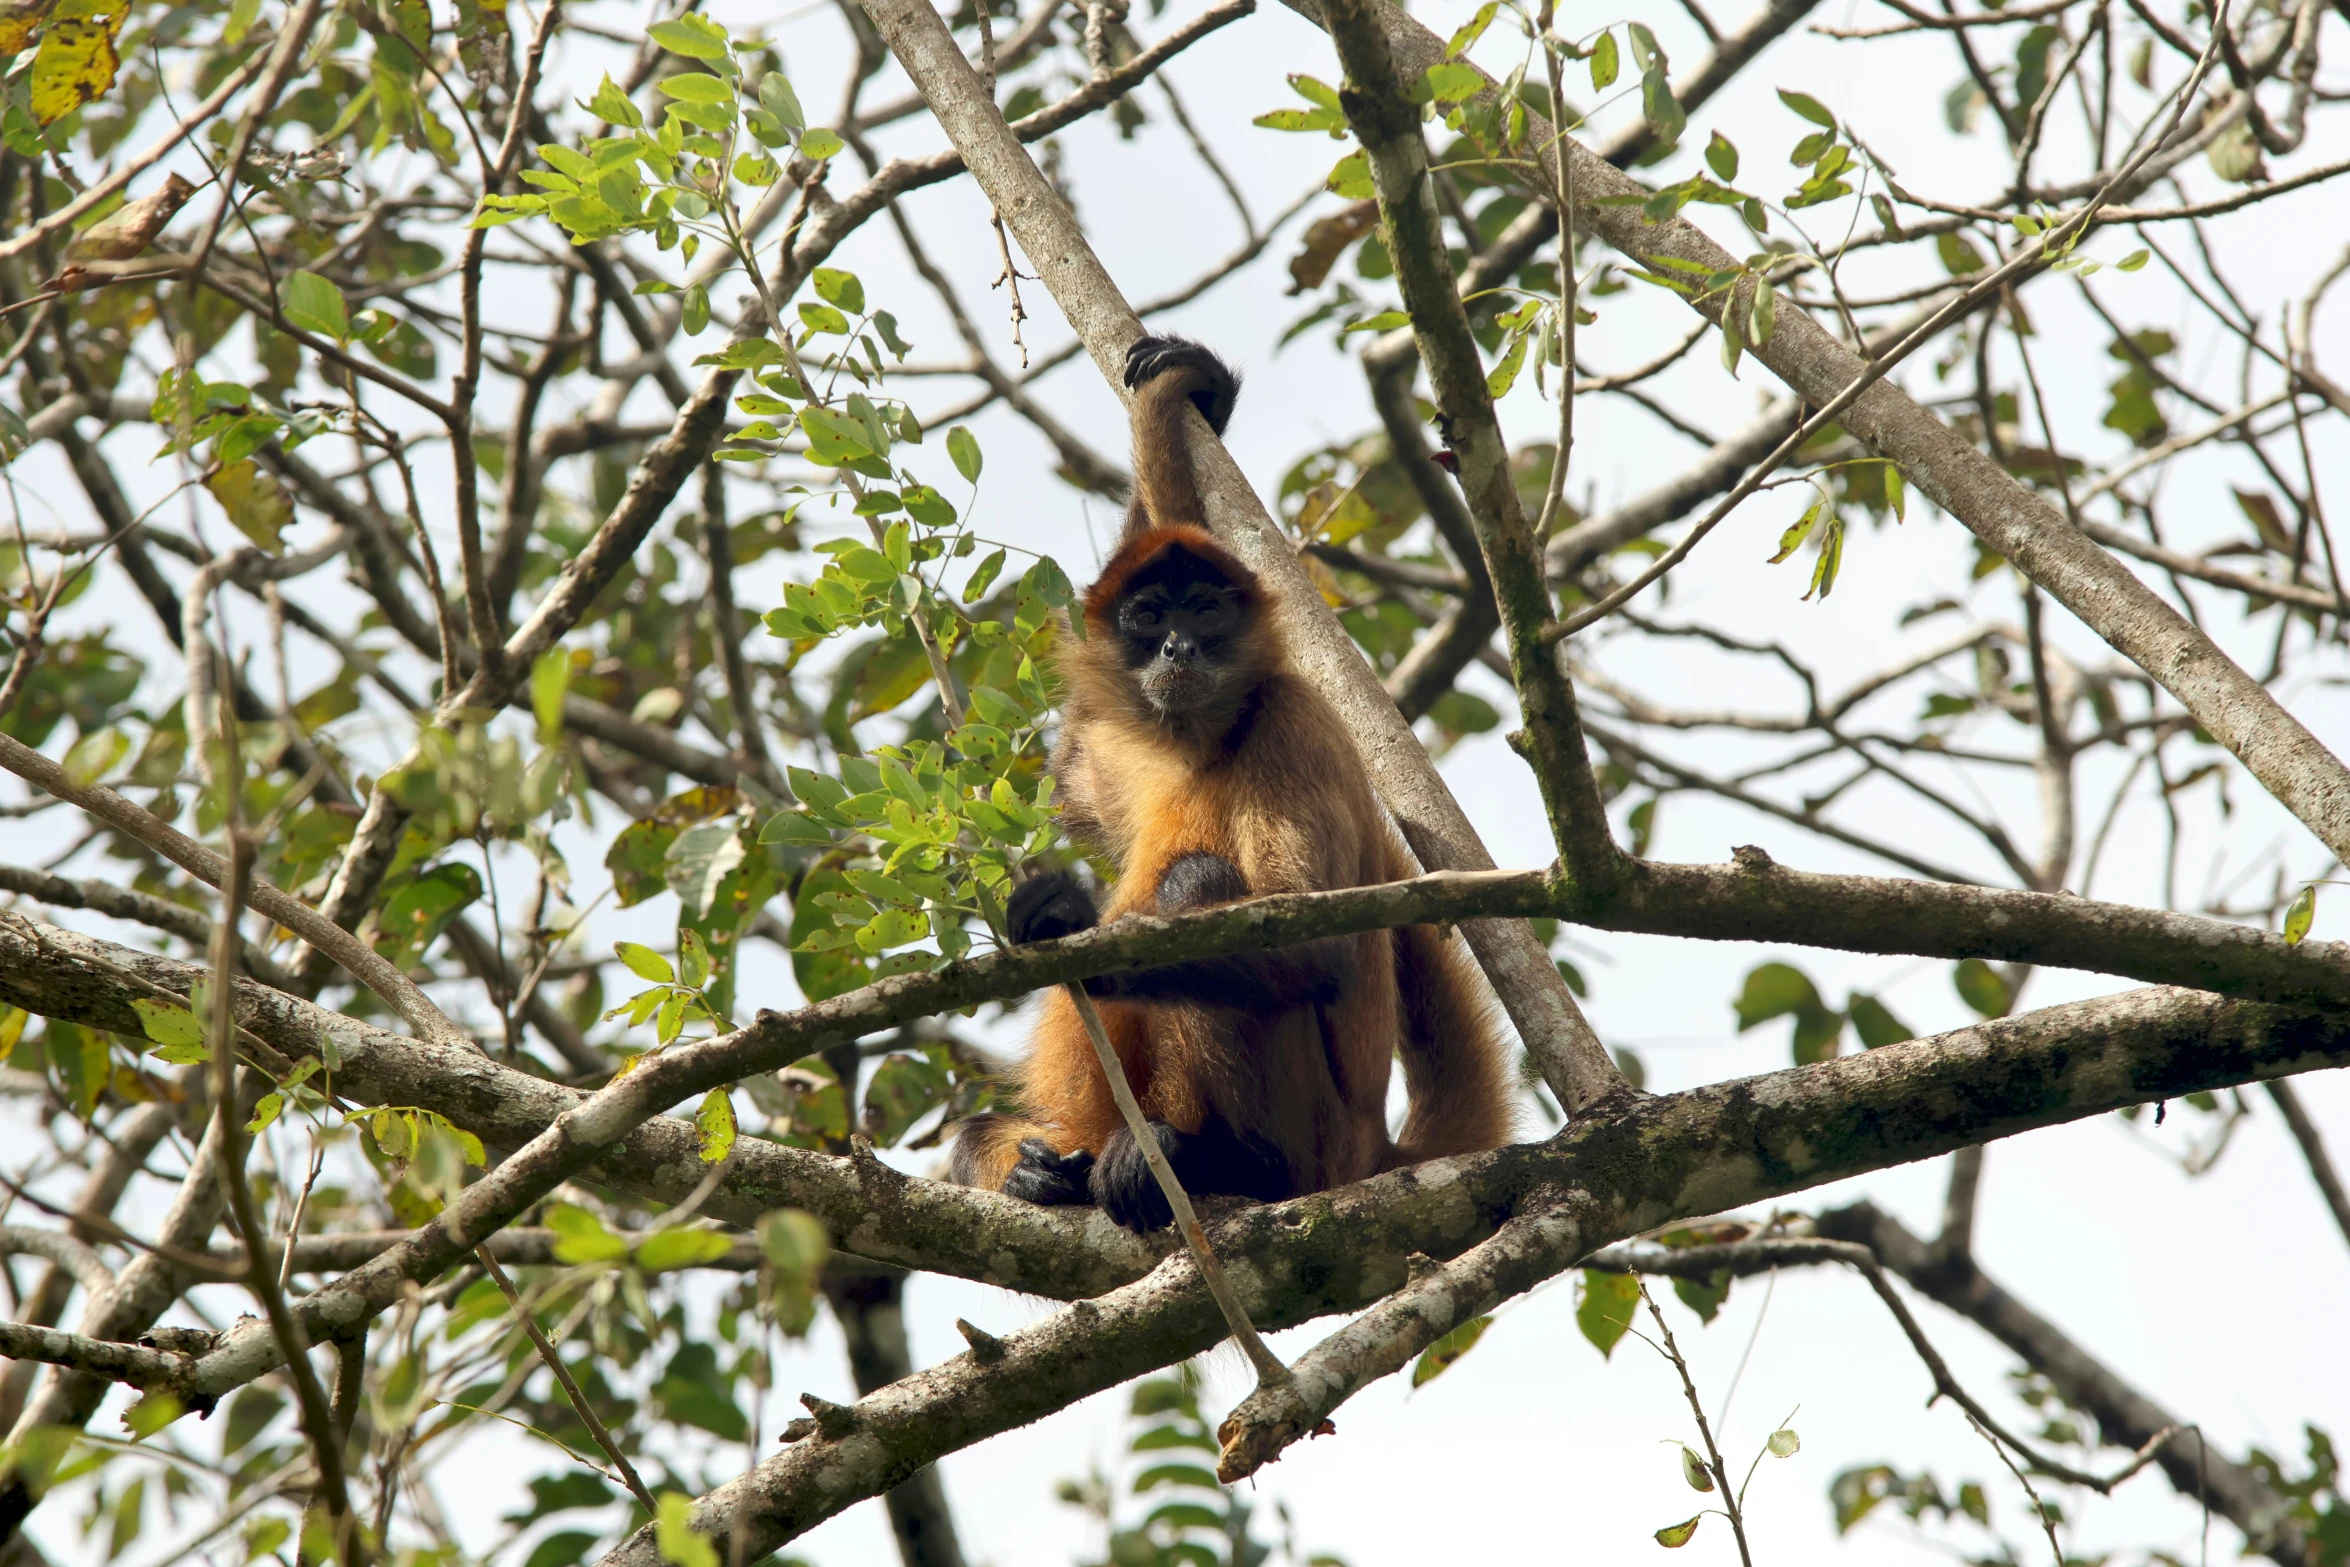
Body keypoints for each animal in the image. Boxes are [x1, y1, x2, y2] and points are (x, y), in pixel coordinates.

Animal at [954, 338, 1522, 1231]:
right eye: (1150, 615)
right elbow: (1070, 768)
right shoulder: (1124, 733)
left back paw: (1215, 1161)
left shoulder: (1294, 722)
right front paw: (1205, 402)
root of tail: (1371, 1150)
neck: (1198, 740)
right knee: (975, 1137)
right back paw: (1043, 1177)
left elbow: (1315, 949)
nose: (1179, 647)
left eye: (1206, 613)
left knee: (1199, 881)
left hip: (1312, 1132)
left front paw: (1073, 924)